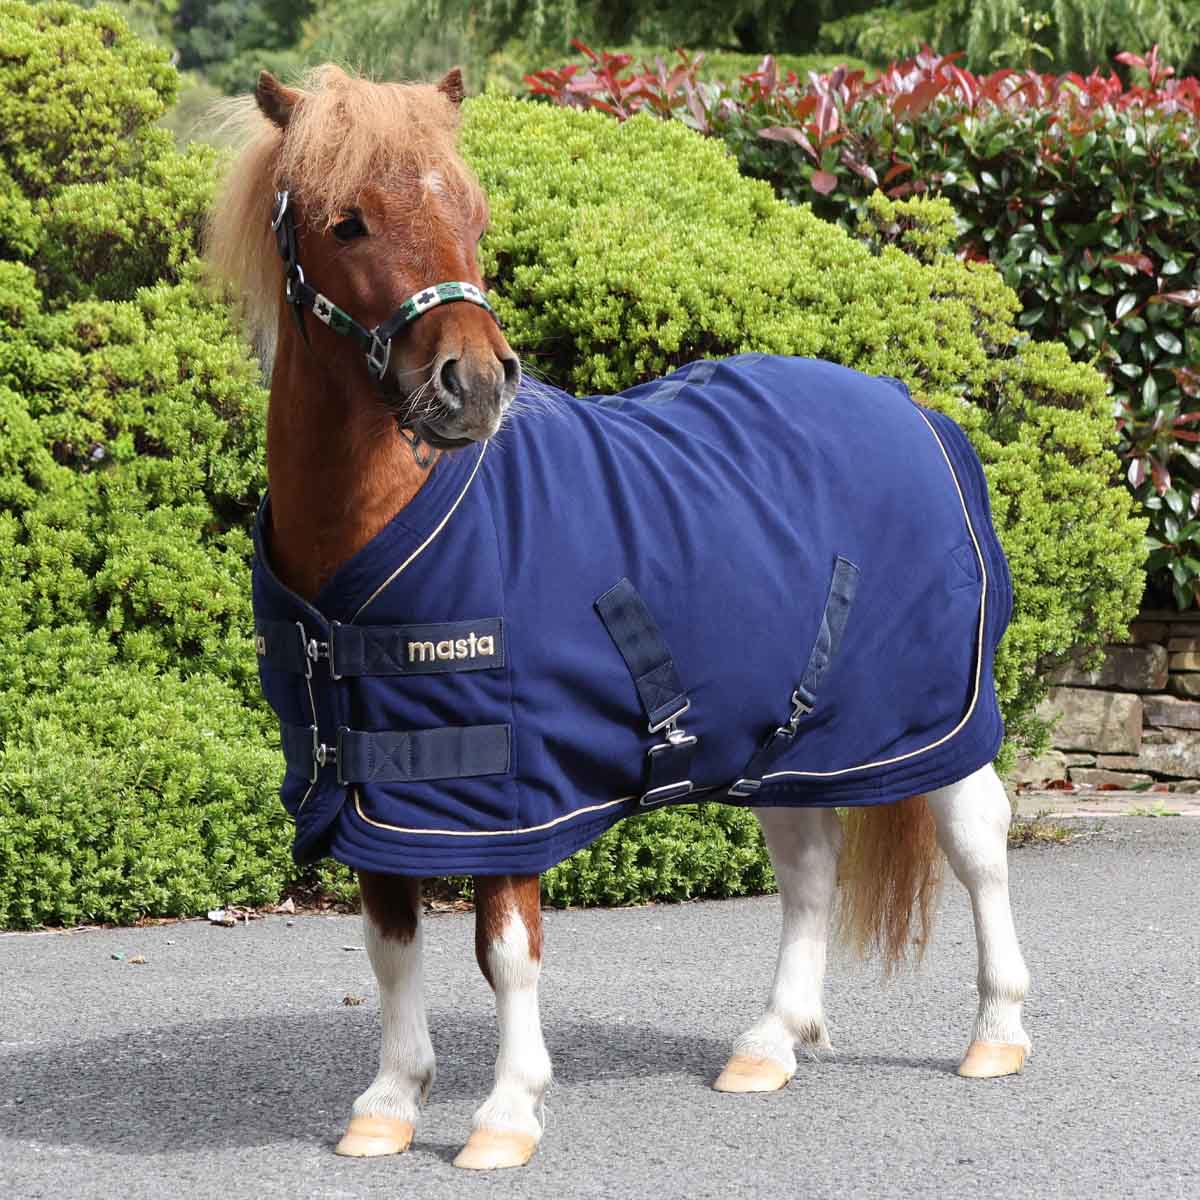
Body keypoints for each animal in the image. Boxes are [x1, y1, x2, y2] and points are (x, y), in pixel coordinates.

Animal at [207, 65, 1031, 1172]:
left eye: (474, 215)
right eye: (349, 222)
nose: (475, 383)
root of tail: (914, 408)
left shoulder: (506, 794)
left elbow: (506, 953)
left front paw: (506, 1114)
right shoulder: (381, 794)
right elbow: (390, 946)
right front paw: (388, 1103)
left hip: (930, 717)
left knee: (977, 842)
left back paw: (996, 1033)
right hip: (787, 739)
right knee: (811, 874)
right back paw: (770, 1045)